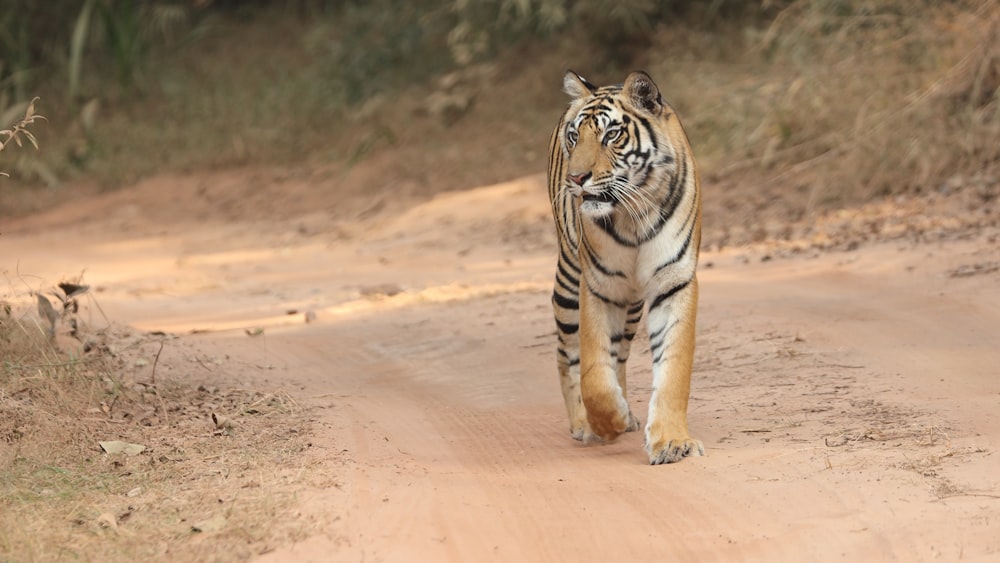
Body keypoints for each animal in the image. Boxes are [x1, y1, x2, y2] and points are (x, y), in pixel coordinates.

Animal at [548, 71, 704, 468]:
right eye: (575, 136)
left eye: (611, 135)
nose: (576, 178)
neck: (634, 215)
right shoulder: (598, 286)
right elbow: (594, 374)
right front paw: (609, 421)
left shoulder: (673, 283)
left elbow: (673, 369)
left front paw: (672, 442)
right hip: (569, 281)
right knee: (567, 354)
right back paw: (583, 423)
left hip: (631, 303)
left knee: (619, 352)